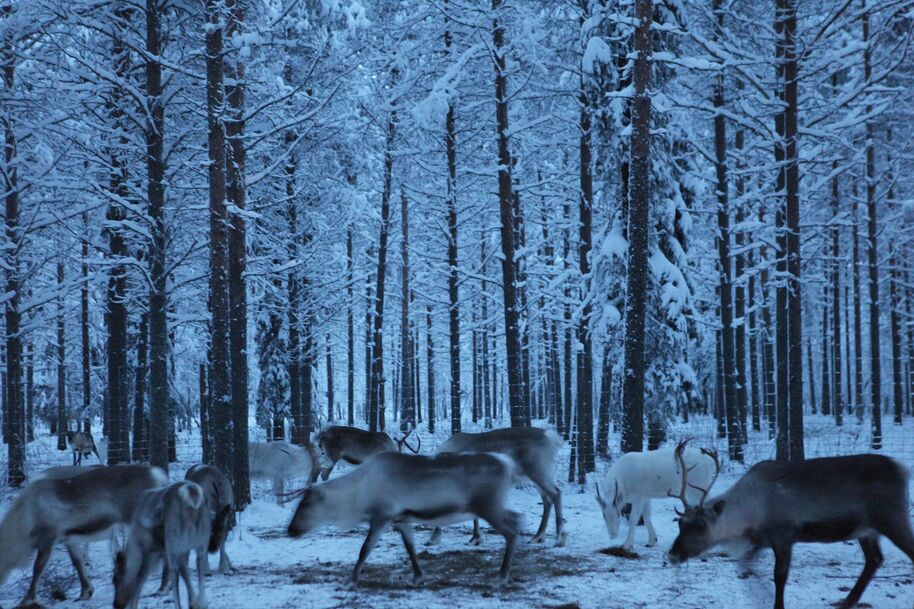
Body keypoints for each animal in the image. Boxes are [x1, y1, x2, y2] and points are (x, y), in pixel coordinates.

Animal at [0, 464, 167, 607]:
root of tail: (159, 476)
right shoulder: (69, 538)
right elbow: (77, 562)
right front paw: (85, 592)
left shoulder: (50, 536)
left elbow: (38, 568)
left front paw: (27, 599)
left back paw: (162, 588)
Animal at [113, 481, 214, 609]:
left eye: (115, 579)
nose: (116, 604)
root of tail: (191, 491)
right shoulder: (183, 549)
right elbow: (185, 572)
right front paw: (194, 602)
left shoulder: (150, 553)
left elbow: (139, 581)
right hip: (201, 539)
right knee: (200, 565)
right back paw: (202, 601)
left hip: (173, 543)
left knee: (174, 572)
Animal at [287, 451, 522, 584]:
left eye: (305, 503)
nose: (290, 530)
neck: (357, 497)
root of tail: (508, 462)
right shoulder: (402, 520)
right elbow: (410, 547)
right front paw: (418, 576)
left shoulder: (381, 517)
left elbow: (365, 548)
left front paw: (352, 579)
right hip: (494, 506)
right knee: (517, 519)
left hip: (488, 506)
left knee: (511, 531)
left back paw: (502, 576)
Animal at [428, 426, 565, 547]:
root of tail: (552, 438)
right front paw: (476, 538)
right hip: (538, 474)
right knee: (547, 499)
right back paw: (538, 537)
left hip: (537, 470)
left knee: (556, 493)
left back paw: (559, 539)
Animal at [667, 453, 914, 609]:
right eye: (679, 523)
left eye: (700, 525)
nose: (673, 555)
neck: (750, 508)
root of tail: (902, 468)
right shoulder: (761, 540)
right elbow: (745, 565)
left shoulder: (784, 537)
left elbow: (780, 577)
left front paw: (777, 603)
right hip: (865, 530)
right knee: (874, 559)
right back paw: (847, 602)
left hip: (892, 518)